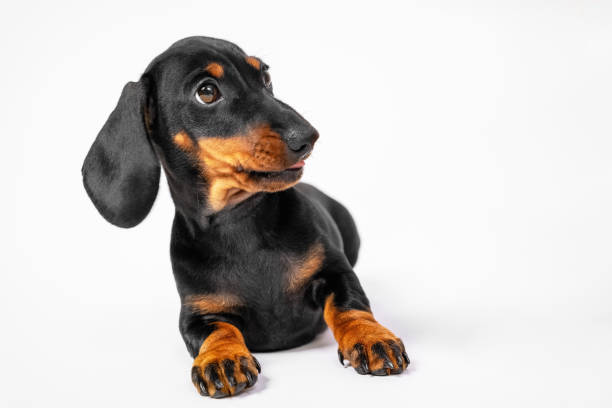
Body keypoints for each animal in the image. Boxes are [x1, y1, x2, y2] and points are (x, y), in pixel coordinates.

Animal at [81, 35, 406, 398]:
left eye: (265, 76)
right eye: (207, 92)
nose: (308, 137)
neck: (240, 225)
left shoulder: (335, 272)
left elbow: (349, 305)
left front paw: (371, 338)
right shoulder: (196, 313)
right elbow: (216, 331)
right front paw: (221, 359)